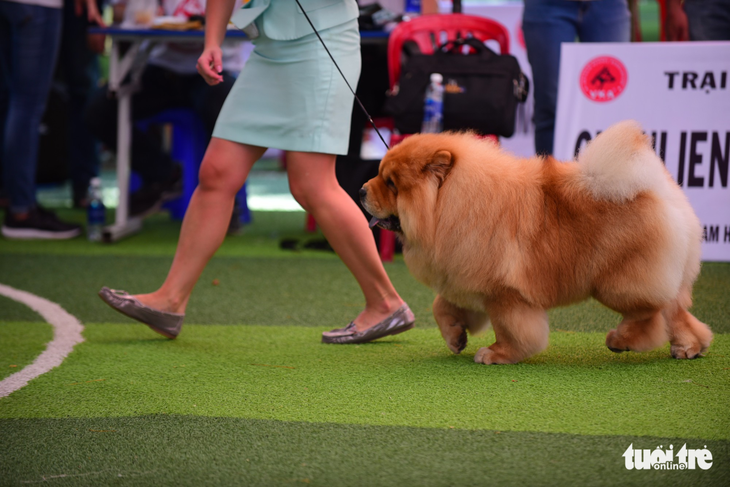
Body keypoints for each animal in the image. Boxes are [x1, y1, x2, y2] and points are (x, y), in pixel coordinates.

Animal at [358, 121, 712, 366]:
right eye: (380, 175)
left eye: (391, 183)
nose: (361, 190)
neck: (452, 206)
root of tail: (656, 189)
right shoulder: (464, 276)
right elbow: (441, 306)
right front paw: (455, 338)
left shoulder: (503, 294)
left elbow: (511, 328)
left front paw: (497, 354)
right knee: (677, 312)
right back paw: (689, 347)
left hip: (617, 283)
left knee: (651, 314)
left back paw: (621, 340)